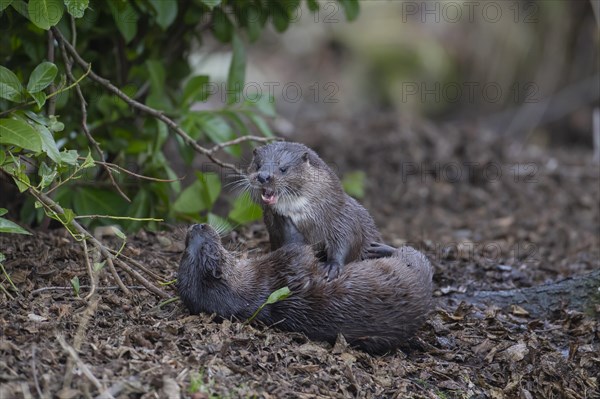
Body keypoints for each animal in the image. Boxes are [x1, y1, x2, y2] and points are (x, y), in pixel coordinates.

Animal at [176, 222, 434, 356]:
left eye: (185, 248)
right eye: (204, 248)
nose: (197, 225)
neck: (251, 284)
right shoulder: (288, 261)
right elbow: (301, 250)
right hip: (411, 266)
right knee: (411, 253)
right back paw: (382, 249)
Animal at [246, 142, 382, 280]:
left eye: (283, 169)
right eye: (258, 166)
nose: (263, 176)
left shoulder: (342, 216)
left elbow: (348, 240)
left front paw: (333, 266)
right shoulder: (273, 231)